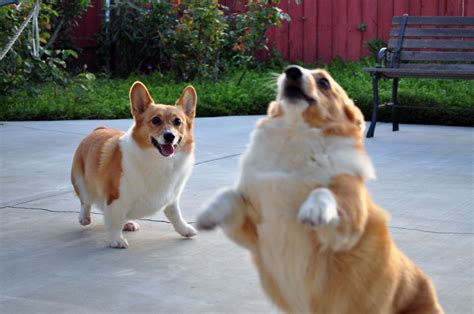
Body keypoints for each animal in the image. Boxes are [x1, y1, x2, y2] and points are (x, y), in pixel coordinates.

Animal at [71, 82, 197, 249]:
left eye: (178, 121)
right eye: (156, 120)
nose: (170, 136)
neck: (159, 162)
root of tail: (98, 129)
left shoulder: (172, 198)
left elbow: (175, 215)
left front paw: (185, 230)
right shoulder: (115, 198)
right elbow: (114, 220)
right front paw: (116, 239)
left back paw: (128, 223)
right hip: (80, 180)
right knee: (85, 200)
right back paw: (84, 217)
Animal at [195, 65, 440, 312]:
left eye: (324, 82)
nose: (292, 71)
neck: (295, 134)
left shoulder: (345, 231)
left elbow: (322, 192)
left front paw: (313, 211)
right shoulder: (248, 232)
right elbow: (229, 194)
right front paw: (208, 214)